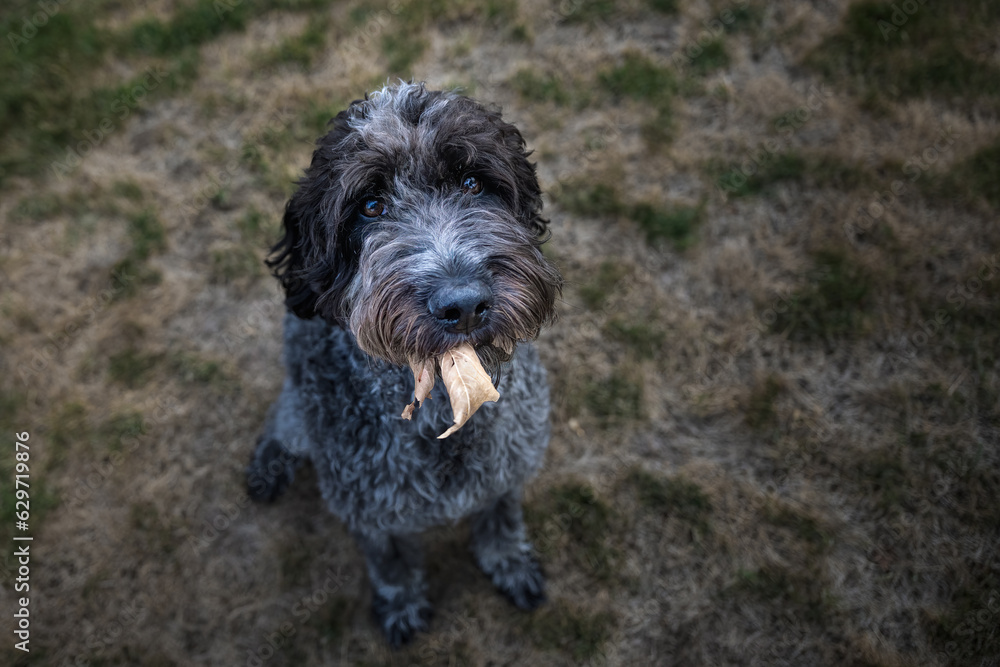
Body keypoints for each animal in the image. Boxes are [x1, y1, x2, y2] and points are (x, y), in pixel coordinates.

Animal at [245, 82, 564, 648]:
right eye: (371, 206)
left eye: (473, 182)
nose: (464, 304)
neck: (442, 409)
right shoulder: (370, 511)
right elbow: (391, 562)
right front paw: (401, 604)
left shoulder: (506, 470)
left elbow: (502, 519)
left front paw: (509, 563)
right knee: (281, 421)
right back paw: (269, 464)